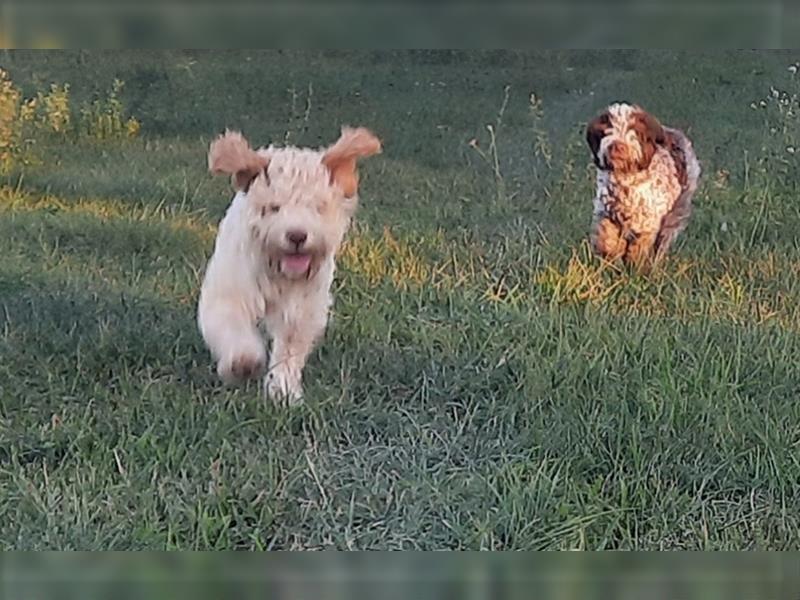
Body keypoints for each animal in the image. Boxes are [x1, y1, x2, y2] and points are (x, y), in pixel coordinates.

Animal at [195, 128, 380, 406]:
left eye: (317, 207)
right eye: (273, 207)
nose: (297, 236)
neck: (278, 270)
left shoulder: (301, 309)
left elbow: (289, 350)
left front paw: (283, 389)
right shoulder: (230, 293)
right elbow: (232, 325)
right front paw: (243, 362)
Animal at [584, 103, 696, 264]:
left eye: (634, 130)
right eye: (607, 129)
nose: (617, 146)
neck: (626, 179)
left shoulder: (647, 224)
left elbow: (639, 250)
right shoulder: (605, 213)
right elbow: (607, 238)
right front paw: (611, 255)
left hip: (677, 211)